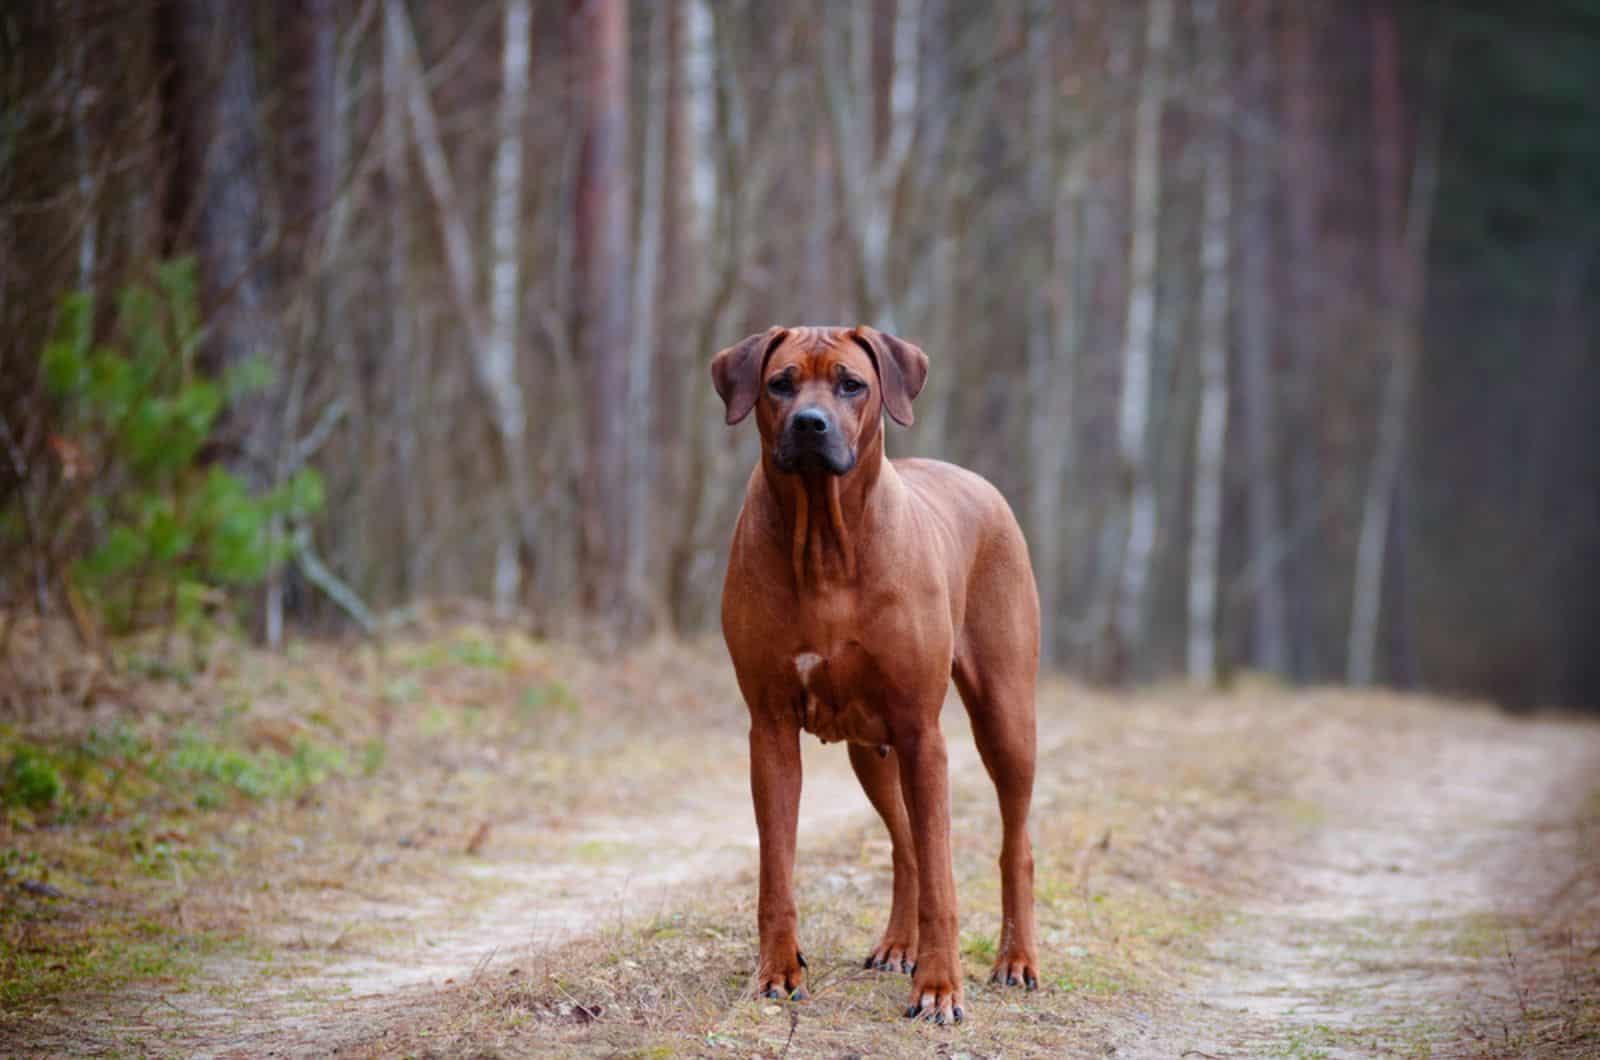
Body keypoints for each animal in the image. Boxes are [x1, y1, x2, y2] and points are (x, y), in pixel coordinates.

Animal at [710, 328, 1036, 1024]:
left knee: (1013, 845)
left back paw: (1016, 960)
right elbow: (777, 869)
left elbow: (943, 877)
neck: (825, 542)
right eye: (780, 383)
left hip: (1006, 715)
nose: (810, 424)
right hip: (870, 747)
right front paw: (777, 971)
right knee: (905, 845)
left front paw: (939, 989)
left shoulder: (922, 732)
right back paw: (897, 946)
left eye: (851, 384)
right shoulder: (769, 729)